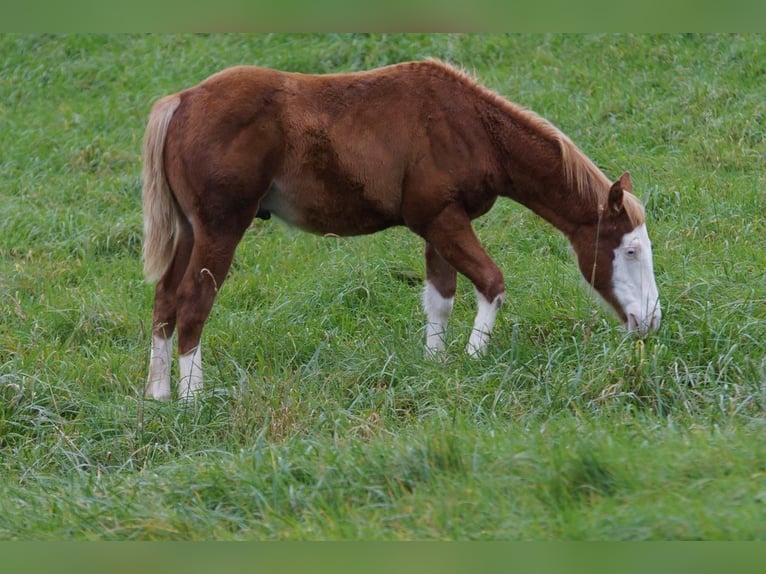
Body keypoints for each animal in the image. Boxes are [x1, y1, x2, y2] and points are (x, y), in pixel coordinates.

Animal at [141, 58, 664, 400]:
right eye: (630, 250)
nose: (651, 321)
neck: (470, 124)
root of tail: (180, 102)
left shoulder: (437, 225)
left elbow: (440, 298)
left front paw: (435, 365)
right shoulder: (443, 218)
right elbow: (491, 282)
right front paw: (474, 360)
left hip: (191, 231)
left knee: (166, 299)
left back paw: (159, 394)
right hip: (221, 229)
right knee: (193, 302)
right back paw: (192, 398)